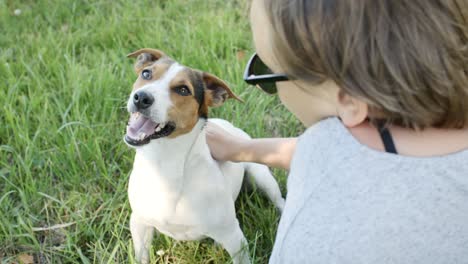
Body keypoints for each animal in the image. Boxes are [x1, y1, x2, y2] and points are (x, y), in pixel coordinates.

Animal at [125, 48, 286, 262]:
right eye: (146, 74)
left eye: (183, 90)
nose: (141, 97)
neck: (165, 163)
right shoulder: (139, 223)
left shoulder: (235, 238)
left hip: (261, 176)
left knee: (279, 200)